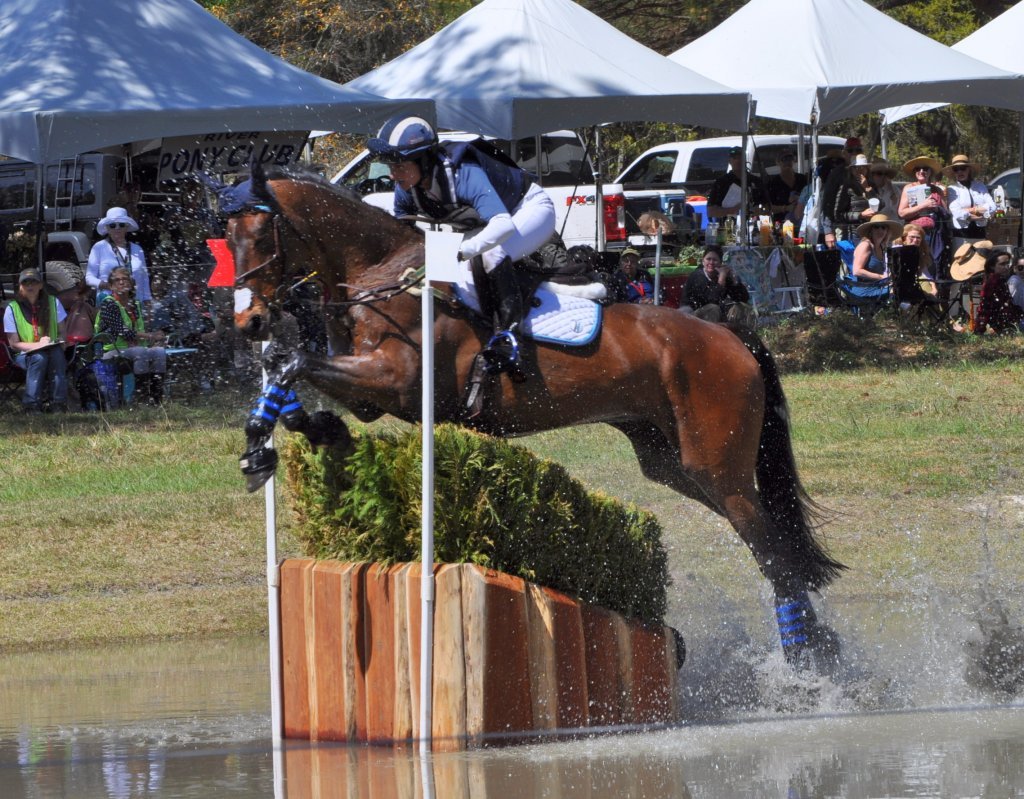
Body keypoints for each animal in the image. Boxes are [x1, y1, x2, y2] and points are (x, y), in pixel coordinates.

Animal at [227, 165, 846, 671]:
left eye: (259, 236)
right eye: (225, 240)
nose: (248, 322)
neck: (384, 272)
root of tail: (730, 333)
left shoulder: (396, 381)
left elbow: (292, 362)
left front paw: (267, 443)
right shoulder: (372, 394)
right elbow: (290, 370)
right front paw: (281, 439)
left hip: (717, 465)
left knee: (773, 549)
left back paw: (810, 660)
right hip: (672, 461)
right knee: (772, 541)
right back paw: (819, 648)